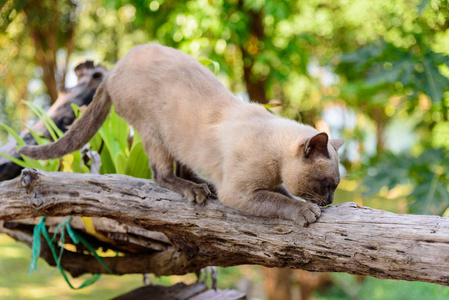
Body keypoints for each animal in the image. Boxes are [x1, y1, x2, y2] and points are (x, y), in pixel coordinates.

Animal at [18, 44, 344, 226]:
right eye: (327, 184)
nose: (329, 202)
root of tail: (113, 71)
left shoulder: (265, 184)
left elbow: (283, 194)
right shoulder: (240, 192)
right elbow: (281, 202)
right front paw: (307, 211)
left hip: (179, 142)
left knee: (184, 167)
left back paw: (203, 185)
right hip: (155, 133)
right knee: (161, 175)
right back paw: (196, 190)